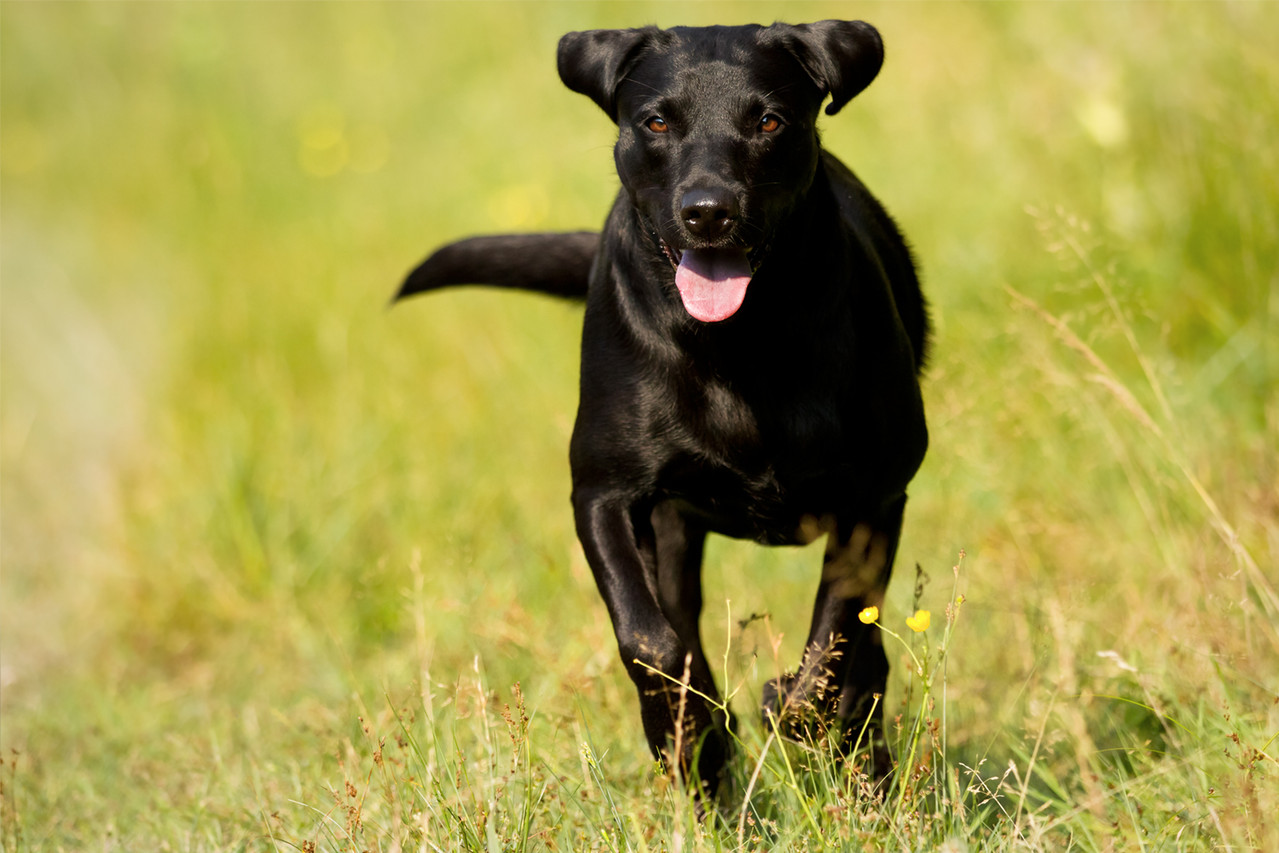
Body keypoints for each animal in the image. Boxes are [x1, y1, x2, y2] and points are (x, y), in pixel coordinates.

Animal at [393, 21, 925, 792]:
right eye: (656, 122)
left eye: (769, 121)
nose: (707, 212)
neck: (737, 343)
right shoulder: (604, 492)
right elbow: (650, 638)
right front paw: (687, 726)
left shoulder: (875, 492)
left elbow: (833, 639)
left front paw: (788, 700)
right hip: (670, 529)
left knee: (865, 661)